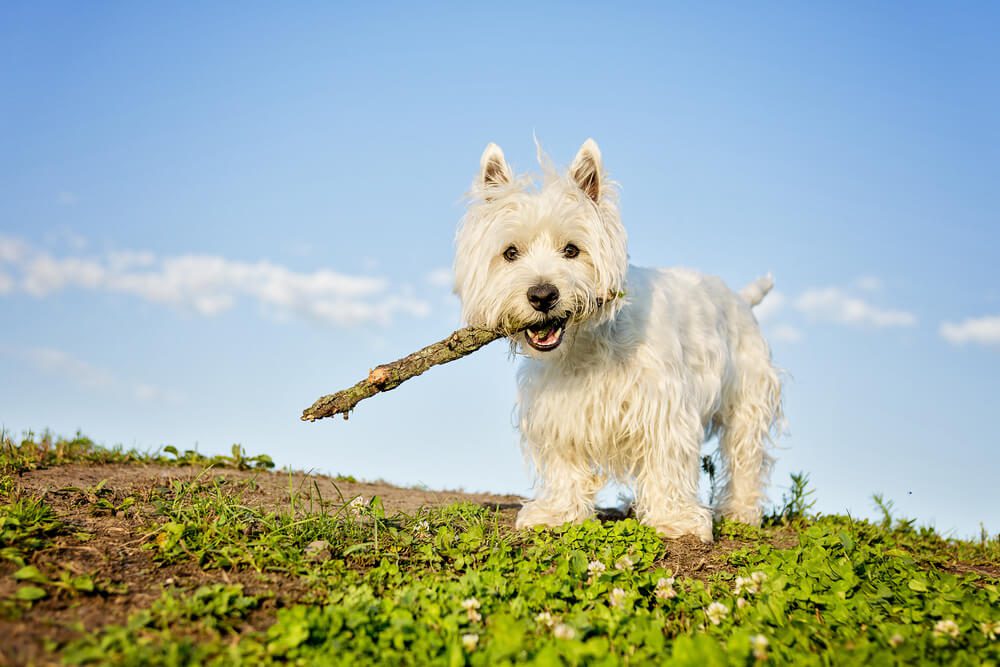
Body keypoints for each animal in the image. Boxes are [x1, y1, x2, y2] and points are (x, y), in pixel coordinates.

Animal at [454, 141, 780, 544]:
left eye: (572, 250)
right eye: (510, 253)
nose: (542, 295)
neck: (585, 345)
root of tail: (740, 297)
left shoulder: (664, 405)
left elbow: (666, 459)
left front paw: (675, 520)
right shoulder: (558, 411)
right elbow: (565, 462)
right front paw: (557, 513)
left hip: (746, 398)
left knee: (745, 455)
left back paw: (739, 512)